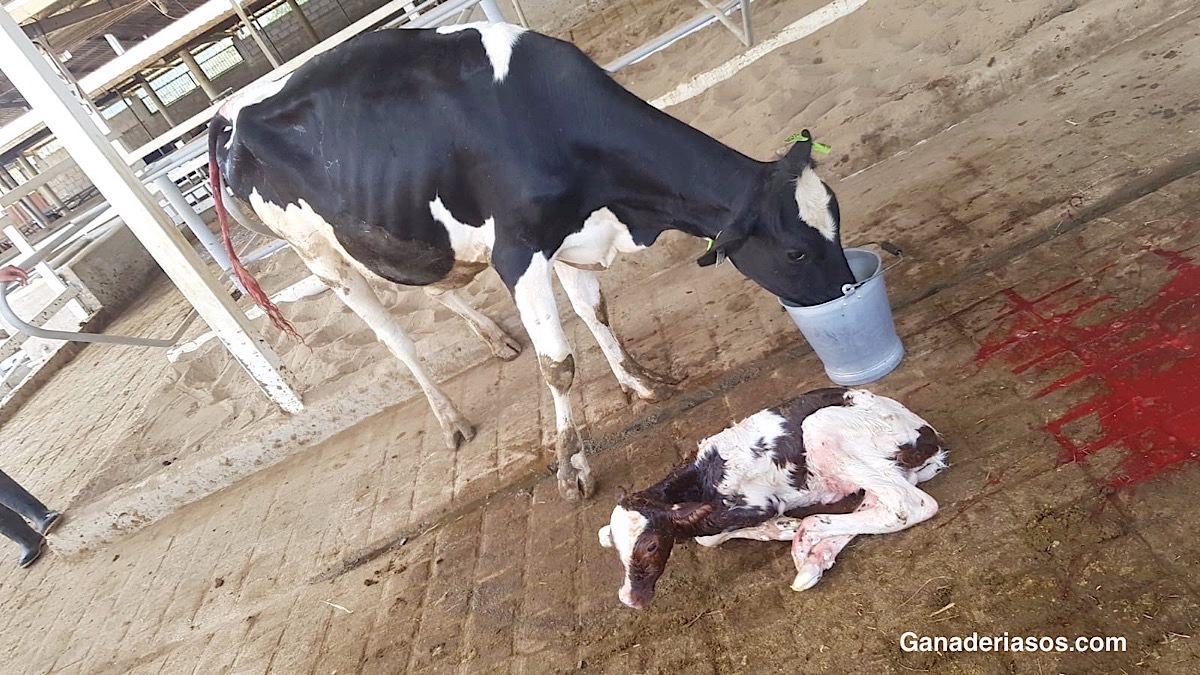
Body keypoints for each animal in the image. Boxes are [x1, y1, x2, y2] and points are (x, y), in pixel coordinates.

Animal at [207, 22, 856, 502]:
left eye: (838, 220)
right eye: (796, 250)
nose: (850, 297)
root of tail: (229, 109)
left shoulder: (572, 232)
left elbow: (597, 313)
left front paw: (641, 382)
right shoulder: (519, 251)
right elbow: (559, 365)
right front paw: (572, 470)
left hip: (393, 229)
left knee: (434, 284)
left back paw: (494, 338)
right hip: (319, 255)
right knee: (395, 338)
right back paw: (450, 418)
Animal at [598, 388, 949, 608]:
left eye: (651, 546)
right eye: (617, 547)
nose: (629, 598)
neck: (703, 476)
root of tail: (929, 436)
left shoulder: (758, 504)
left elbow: (709, 537)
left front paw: (783, 527)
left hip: (821, 426)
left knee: (909, 505)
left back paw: (805, 535)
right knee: (879, 503)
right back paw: (813, 561)